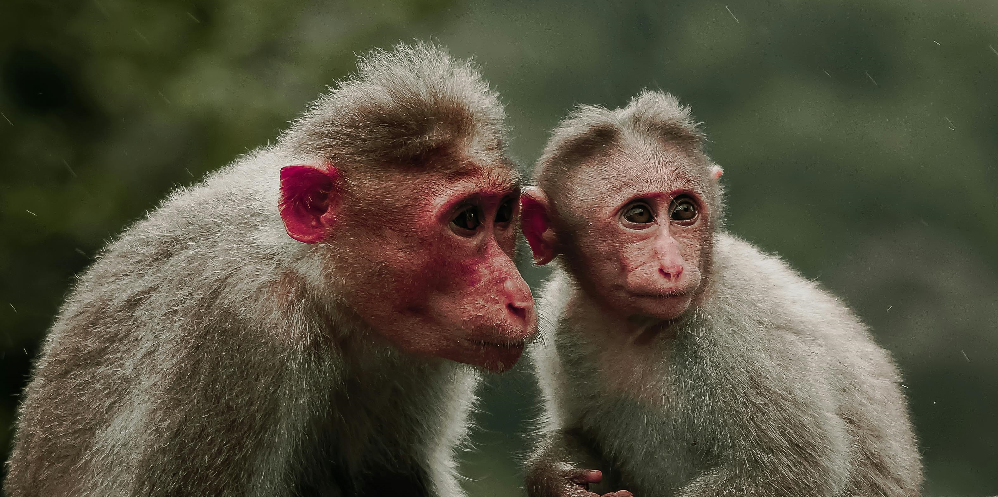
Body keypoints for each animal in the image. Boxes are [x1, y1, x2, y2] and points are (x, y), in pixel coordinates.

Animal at [4, 42, 537, 497]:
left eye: (502, 216)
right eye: (466, 220)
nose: (520, 299)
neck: (315, 283)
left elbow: (392, 473)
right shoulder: (241, 331)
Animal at [519, 91, 922, 497]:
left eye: (683, 211)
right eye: (639, 215)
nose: (673, 266)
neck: (644, 328)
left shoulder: (740, 332)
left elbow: (788, 474)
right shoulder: (563, 321)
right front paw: (556, 472)